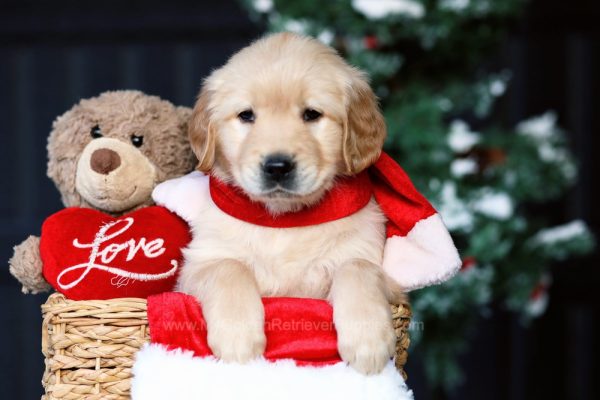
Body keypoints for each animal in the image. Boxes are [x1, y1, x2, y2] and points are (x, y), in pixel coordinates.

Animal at [178, 32, 404, 374]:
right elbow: (229, 266)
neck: (286, 220)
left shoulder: (385, 272)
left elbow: (356, 267)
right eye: (246, 115)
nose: (277, 167)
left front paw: (367, 339)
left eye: (312, 114)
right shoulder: (195, 267)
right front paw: (237, 337)